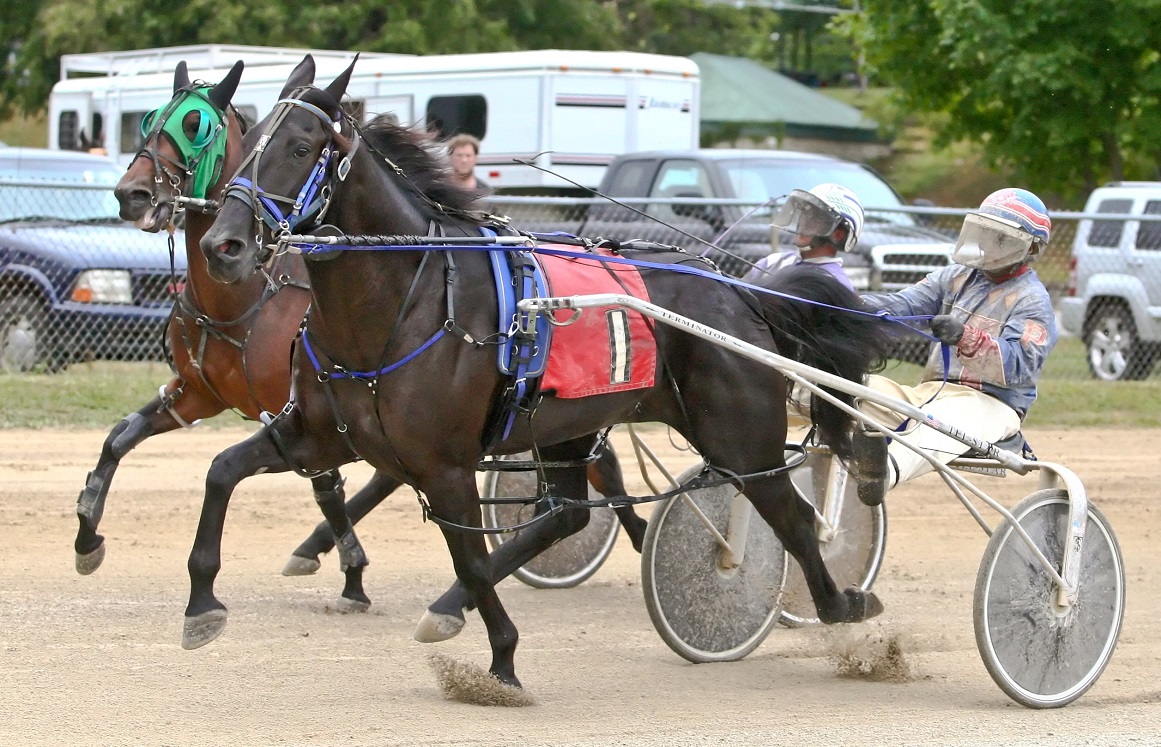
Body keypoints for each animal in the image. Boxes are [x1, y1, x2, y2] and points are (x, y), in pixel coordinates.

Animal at [195, 59, 891, 687]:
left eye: (300, 147)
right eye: (247, 146)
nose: (222, 246)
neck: (399, 301)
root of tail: (740, 290)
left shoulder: (445, 467)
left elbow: (472, 560)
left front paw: (501, 660)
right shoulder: (318, 435)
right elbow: (222, 471)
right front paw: (201, 605)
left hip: (739, 438)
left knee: (795, 518)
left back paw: (841, 603)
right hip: (571, 424)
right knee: (567, 515)